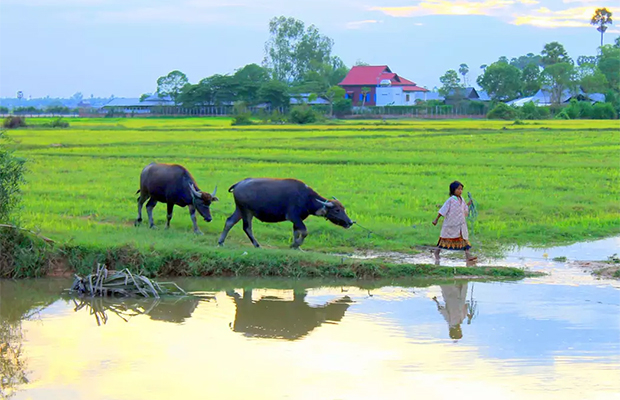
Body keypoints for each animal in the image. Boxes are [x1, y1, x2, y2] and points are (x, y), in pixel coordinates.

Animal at [218, 177, 354, 248]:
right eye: (337, 210)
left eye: (344, 209)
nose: (350, 222)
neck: (306, 198)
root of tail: (239, 184)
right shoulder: (293, 216)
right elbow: (304, 231)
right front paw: (295, 245)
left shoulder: (298, 219)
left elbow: (296, 232)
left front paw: (296, 246)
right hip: (246, 211)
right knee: (247, 227)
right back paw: (257, 244)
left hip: (239, 210)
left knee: (229, 221)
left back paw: (221, 242)